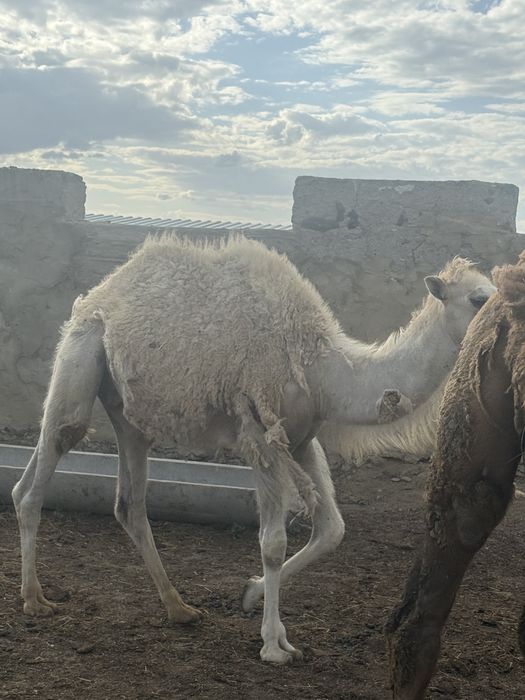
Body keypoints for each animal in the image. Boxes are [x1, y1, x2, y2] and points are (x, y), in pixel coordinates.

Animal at [11, 235, 495, 665]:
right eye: (477, 299)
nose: (501, 323)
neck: (325, 369)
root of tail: (98, 294)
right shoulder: (261, 436)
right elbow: (273, 542)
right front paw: (273, 645)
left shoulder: (301, 440)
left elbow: (332, 529)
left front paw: (250, 595)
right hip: (80, 356)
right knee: (48, 460)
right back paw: (35, 599)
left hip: (128, 413)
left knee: (122, 502)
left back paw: (179, 608)